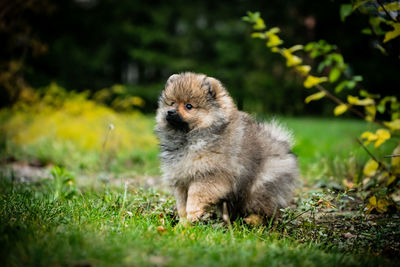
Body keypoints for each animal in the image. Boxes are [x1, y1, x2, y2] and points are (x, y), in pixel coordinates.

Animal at [155, 71, 298, 224]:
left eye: (189, 106)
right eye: (172, 103)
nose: (170, 112)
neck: (188, 139)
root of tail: (283, 146)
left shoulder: (208, 175)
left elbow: (195, 196)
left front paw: (193, 214)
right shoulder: (181, 179)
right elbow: (182, 203)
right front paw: (183, 223)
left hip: (260, 188)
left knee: (266, 209)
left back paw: (253, 220)